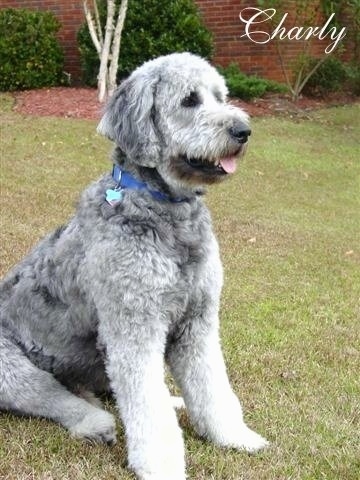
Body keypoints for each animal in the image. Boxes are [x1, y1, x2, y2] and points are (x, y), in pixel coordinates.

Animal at [0, 53, 268, 480]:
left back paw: (172, 401)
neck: (165, 213)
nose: (243, 130)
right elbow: (147, 407)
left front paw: (233, 435)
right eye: (189, 100)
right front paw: (162, 465)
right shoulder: (134, 327)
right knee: (51, 397)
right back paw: (95, 423)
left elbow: (211, 385)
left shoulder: (198, 322)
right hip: (12, 368)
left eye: (221, 96)